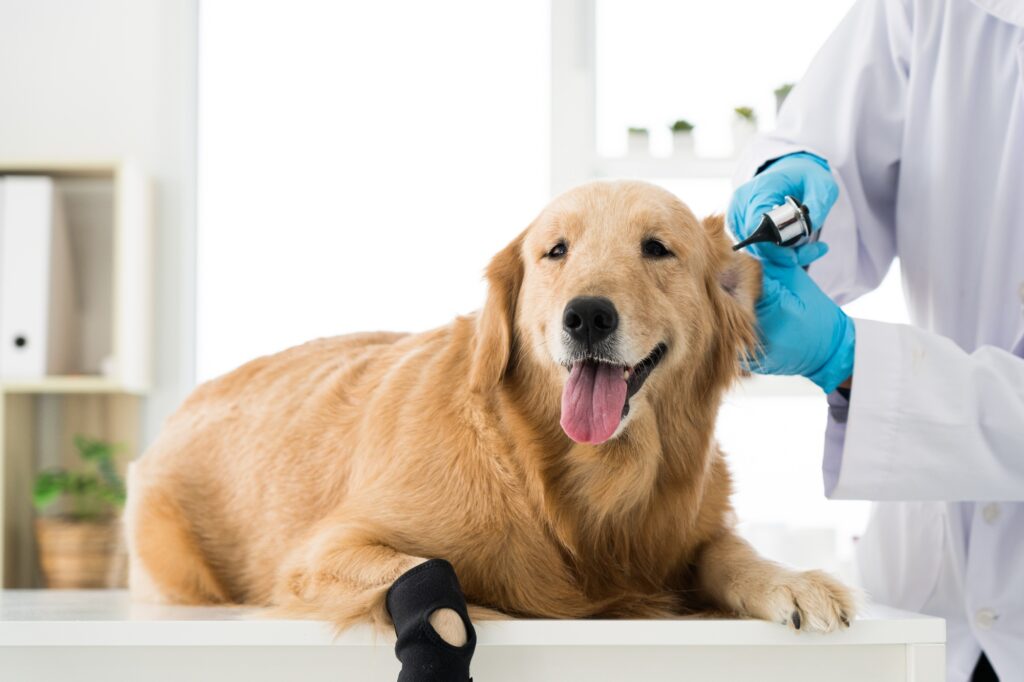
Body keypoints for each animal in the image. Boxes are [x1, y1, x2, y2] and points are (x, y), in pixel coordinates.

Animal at [123, 180, 851, 647]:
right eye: (555, 250)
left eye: (657, 248)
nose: (586, 316)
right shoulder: (321, 553)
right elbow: (431, 578)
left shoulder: (686, 533)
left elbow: (730, 551)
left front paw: (796, 582)